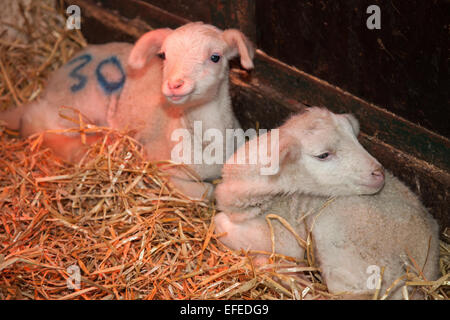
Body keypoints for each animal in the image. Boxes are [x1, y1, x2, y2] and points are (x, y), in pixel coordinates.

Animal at [0, 21, 253, 200]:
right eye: (164, 56)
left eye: (215, 57)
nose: (174, 84)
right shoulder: (160, 167)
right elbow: (206, 193)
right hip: (70, 110)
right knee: (39, 127)